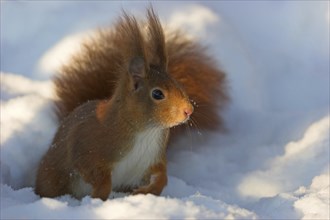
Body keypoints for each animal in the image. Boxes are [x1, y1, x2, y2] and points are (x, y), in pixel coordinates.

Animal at [35, 8, 227, 199]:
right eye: (157, 94)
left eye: (179, 84)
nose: (189, 110)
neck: (146, 132)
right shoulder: (86, 149)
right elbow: (94, 173)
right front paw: (100, 196)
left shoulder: (152, 159)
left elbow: (162, 176)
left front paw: (147, 191)